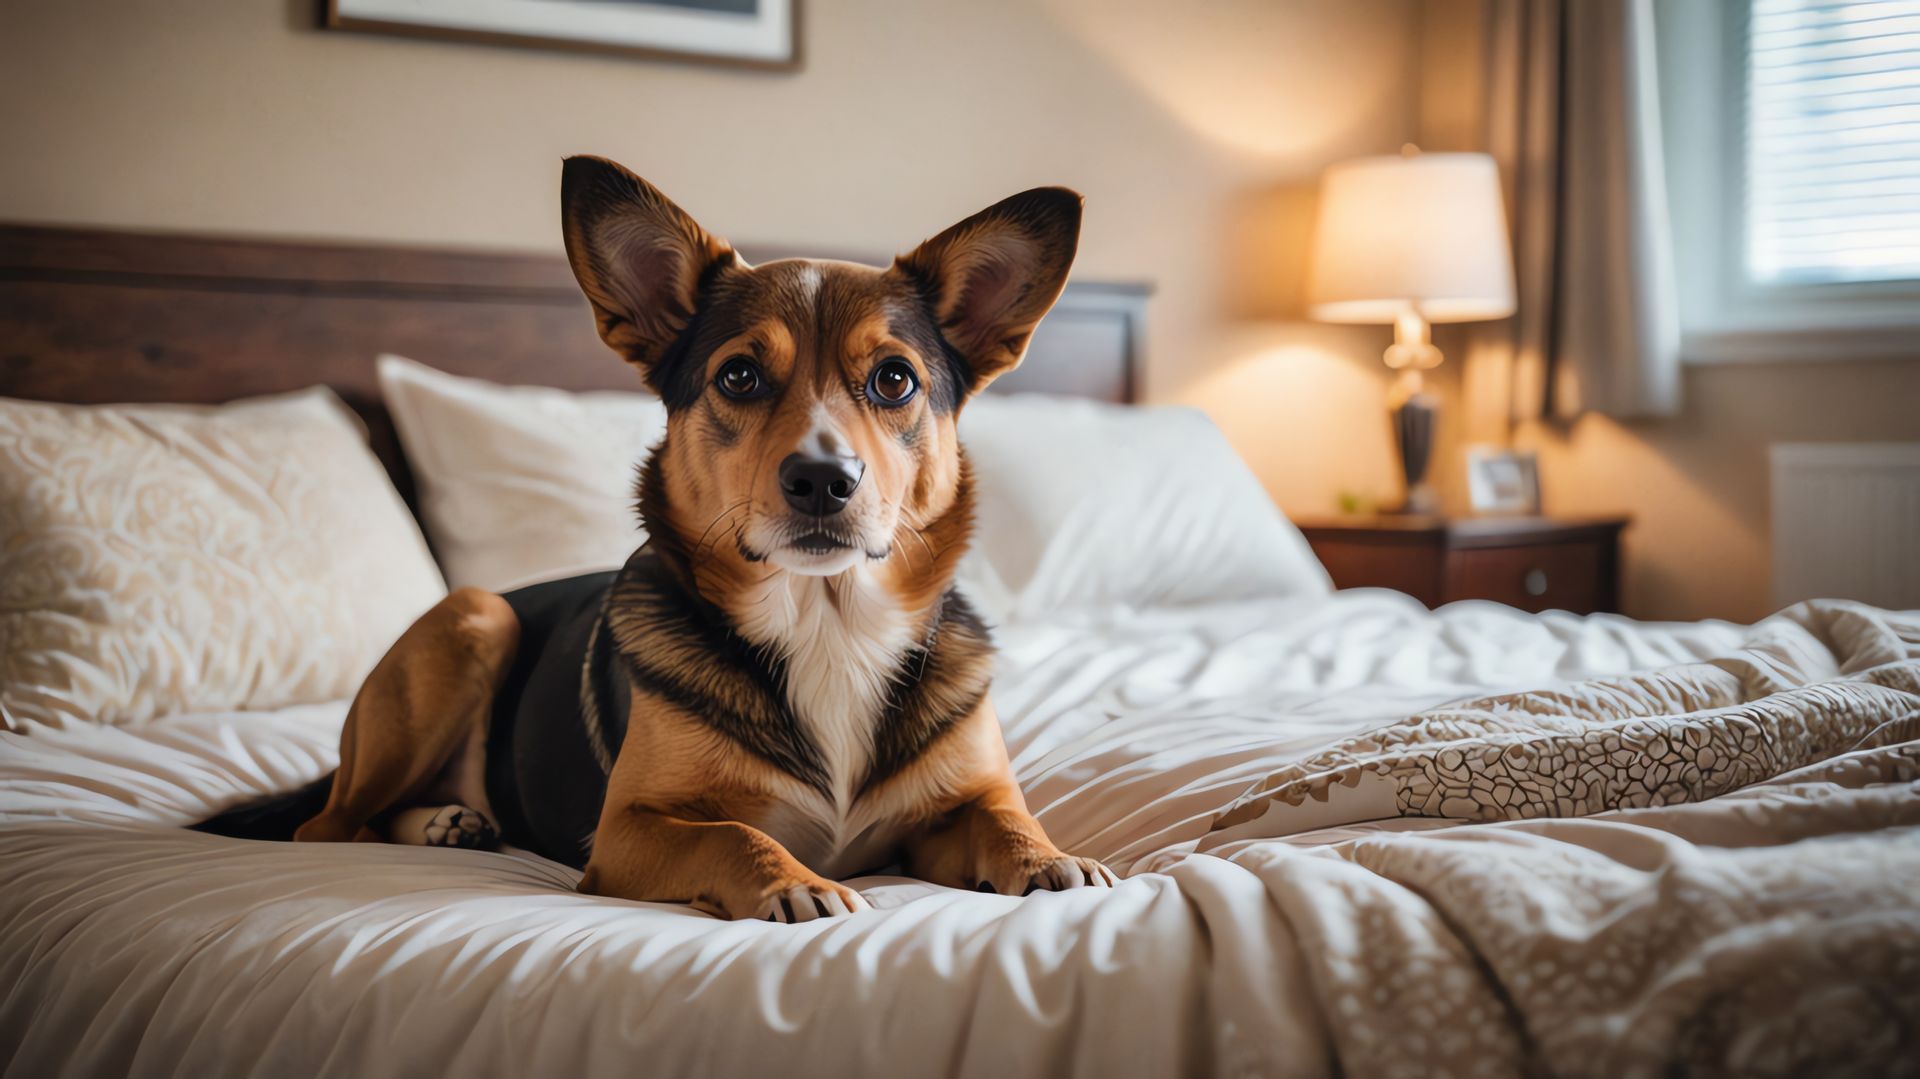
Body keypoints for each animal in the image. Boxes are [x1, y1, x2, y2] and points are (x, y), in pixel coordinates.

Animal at [192, 155, 1113, 921]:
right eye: (739, 374)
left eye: (894, 380)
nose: (824, 479)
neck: (828, 622)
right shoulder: (628, 829)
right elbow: (735, 834)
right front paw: (796, 882)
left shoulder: (959, 805)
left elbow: (1003, 820)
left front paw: (1050, 858)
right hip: (474, 617)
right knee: (329, 826)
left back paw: (452, 820)